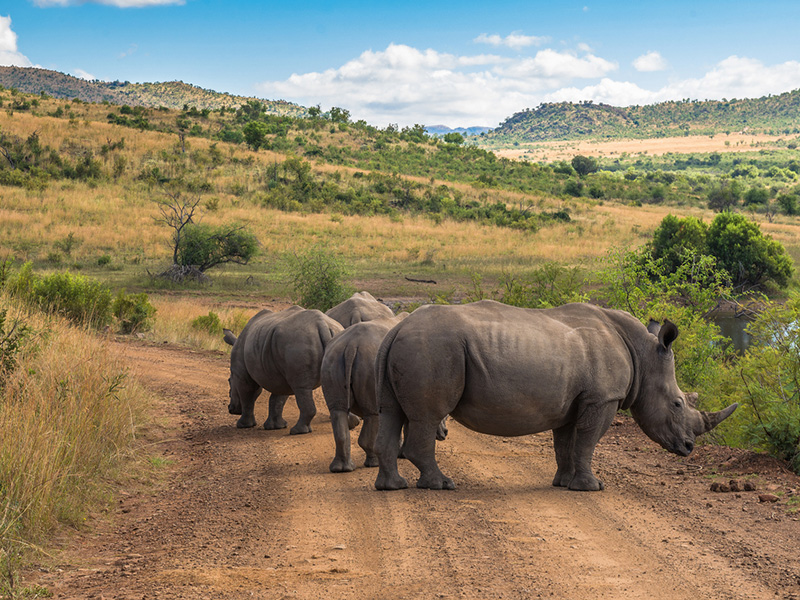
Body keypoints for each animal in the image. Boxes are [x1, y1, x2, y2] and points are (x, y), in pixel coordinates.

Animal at [376, 300, 736, 492]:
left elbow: (565, 442)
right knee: (428, 416)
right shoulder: (602, 398)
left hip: (415, 348)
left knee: (391, 415)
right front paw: (592, 487)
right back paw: (442, 485)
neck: (643, 355)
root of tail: (398, 327)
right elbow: (588, 440)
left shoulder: (574, 400)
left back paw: (392, 486)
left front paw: (563, 483)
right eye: (677, 403)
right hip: (434, 349)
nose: (688, 448)